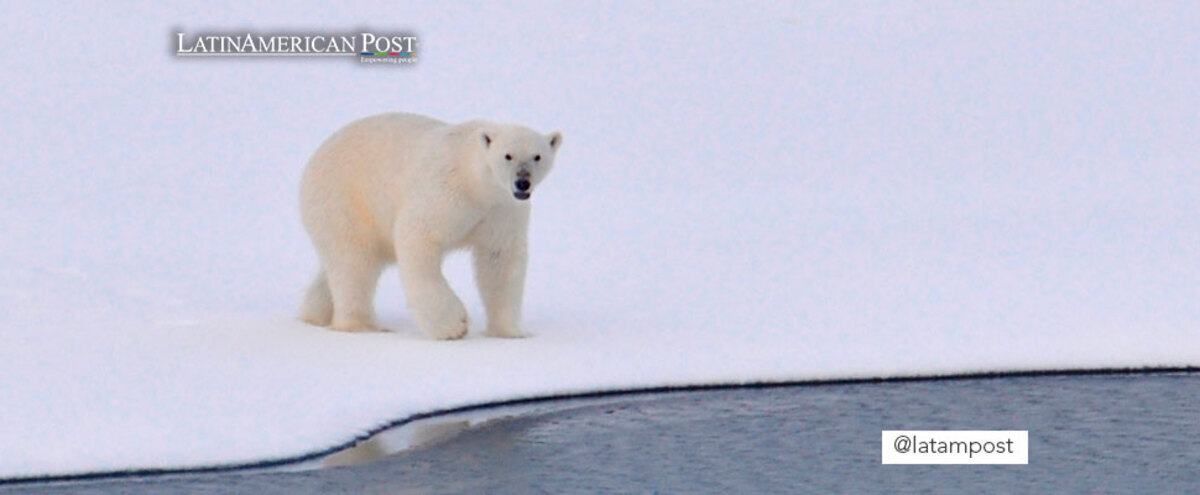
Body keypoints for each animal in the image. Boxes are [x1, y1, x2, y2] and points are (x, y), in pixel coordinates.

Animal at [300, 112, 561, 341]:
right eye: (508, 155)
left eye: (537, 156)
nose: (522, 182)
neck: (475, 183)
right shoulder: (445, 192)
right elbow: (417, 236)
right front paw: (453, 326)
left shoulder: (501, 210)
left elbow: (500, 259)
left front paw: (510, 332)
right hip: (344, 200)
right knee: (353, 262)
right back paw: (362, 326)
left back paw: (314, 314)